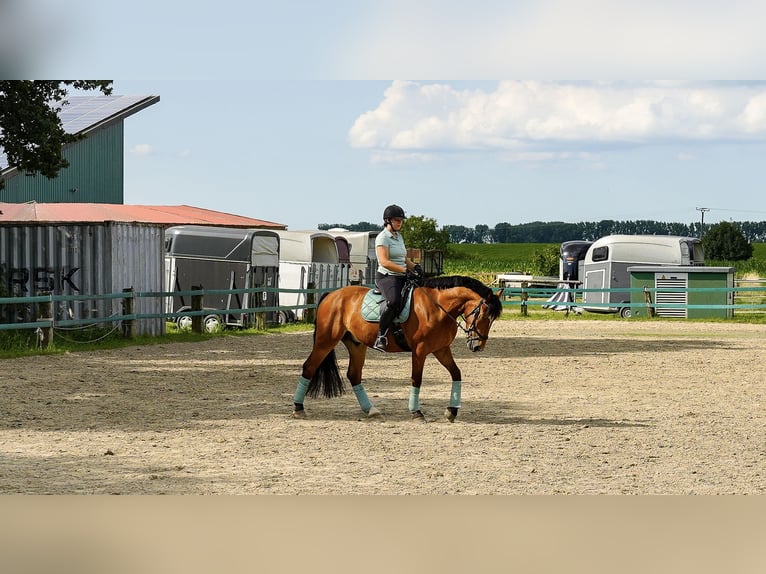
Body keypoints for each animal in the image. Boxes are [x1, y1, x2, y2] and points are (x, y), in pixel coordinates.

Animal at [292, 276, 504, 424]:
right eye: (483, 314)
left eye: (493, 319)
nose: (477, 346)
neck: (437, 307)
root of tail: (331, 294)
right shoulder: (420, 350)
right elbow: (416, 379)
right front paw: (417, 413)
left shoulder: (441, 349)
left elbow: (456, 374)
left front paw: (451, 411)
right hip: (326, 341)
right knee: (309, 367)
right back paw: (298, 408)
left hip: (356, 345)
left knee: (354, 375)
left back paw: (371, 410)